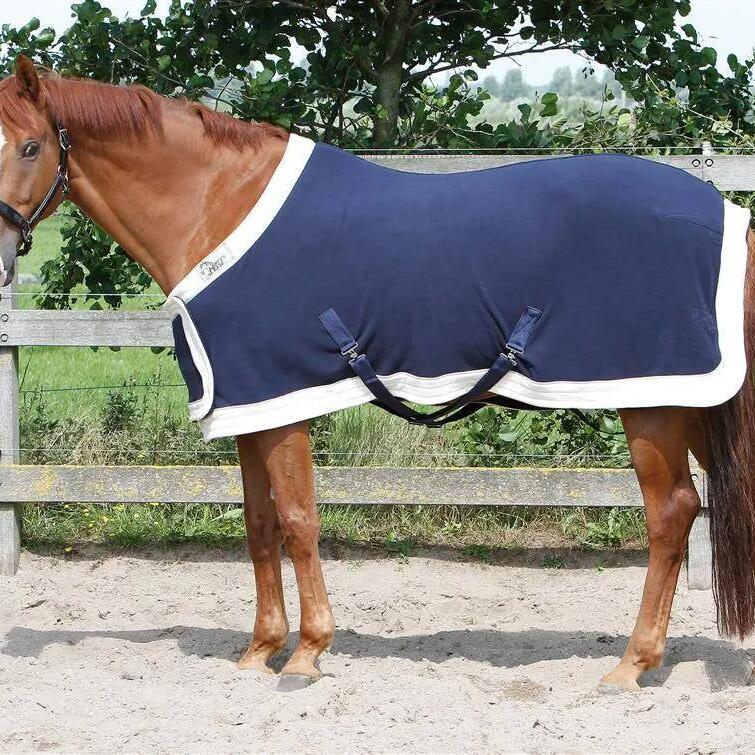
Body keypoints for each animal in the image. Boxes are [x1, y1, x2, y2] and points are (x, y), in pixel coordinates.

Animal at [0, 55, 753, 693]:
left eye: (30, 147)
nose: (1, 254)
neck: (218, 205)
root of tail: (725, 213)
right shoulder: (250, 406)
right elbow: (258, 525)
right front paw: (260, 649)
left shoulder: (284, 403)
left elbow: (299, 520)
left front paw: (307, 654)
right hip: (688, 403)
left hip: (652, 403)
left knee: (669, 513)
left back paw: (631, 664)